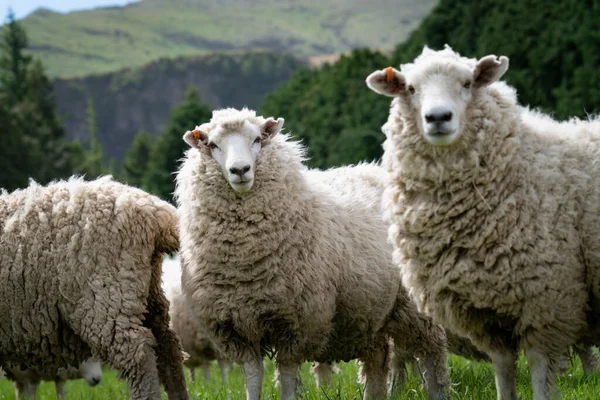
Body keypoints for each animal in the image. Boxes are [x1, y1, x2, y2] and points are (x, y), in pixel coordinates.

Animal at [161, 256, 231, 384]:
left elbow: (222, 364)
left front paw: (226, 384)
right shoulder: (198, 347)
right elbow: (206, 366)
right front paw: (208, 385)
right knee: (193, 367)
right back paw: (193, 384)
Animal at [173, 107, 450, 400]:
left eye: (257, 139)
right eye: (213, 145)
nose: (240, 170)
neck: (245, 266)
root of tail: (376, 170)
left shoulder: (297, 322)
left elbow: (287, 375)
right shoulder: (236, 329)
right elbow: (253, 376)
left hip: (412, 303)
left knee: (433, 351)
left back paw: (437, 392)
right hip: (370, 310)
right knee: (377, 360)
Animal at [364, 45, 600, 398]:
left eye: (467, 83)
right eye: (411, 88)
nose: (438, 118)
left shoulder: (546, 299)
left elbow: (540, 371)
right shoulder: (485, 311)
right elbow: (503, 368)